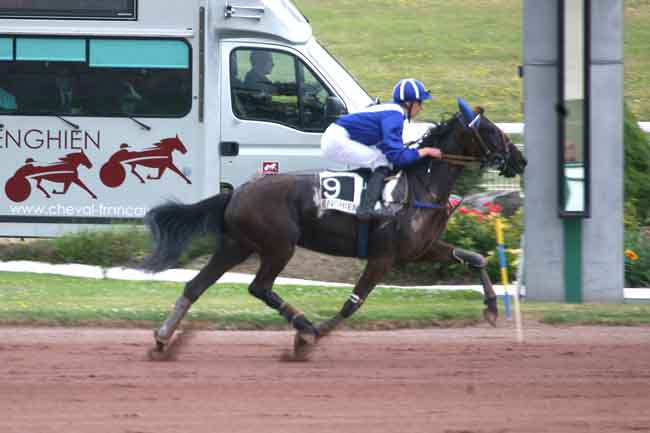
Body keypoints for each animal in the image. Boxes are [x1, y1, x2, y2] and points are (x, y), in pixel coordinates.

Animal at [143, 102, 528, 358]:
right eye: (491, 131)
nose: (520, 160)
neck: (422, 184)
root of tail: (235, 193)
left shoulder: (421, 248)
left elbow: (475, 258)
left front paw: (492, 308)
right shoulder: (383, 257)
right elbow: (352, 304)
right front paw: (314, 334)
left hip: (236, 246)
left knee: (195, 286)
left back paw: (163, 338)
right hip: (278, 246)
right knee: (259, 287)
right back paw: (303, 325)